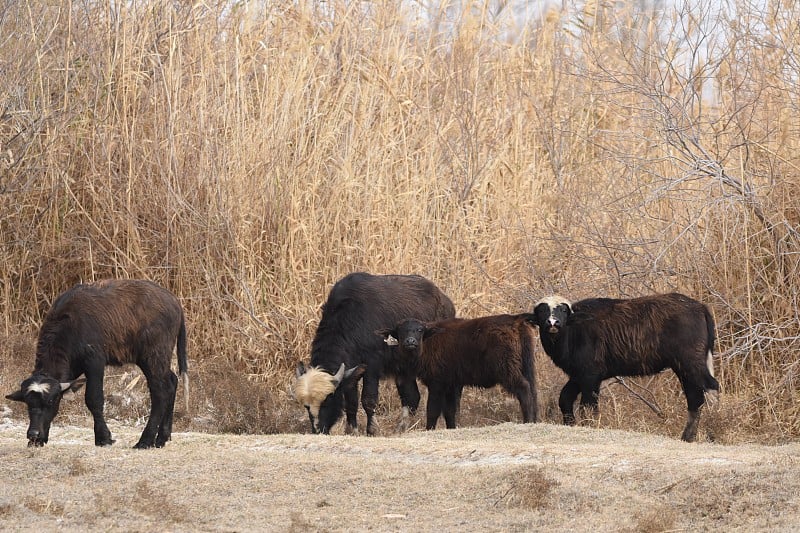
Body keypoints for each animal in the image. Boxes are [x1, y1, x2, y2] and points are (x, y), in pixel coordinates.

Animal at [5, 278, 188, 448]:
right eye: (28, 403)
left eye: (50, 401)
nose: (33, 434)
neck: (70, 327)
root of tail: (174, 301)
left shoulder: (95, 363)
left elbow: (94, 399)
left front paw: (103, 437)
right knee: (172, 382)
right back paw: (162, 437)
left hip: (153, 356)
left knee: (160, 392)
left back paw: (145, 440)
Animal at [294, 272, 456, 434]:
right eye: (306, 406)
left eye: (328, 399)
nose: (318, 430)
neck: (351, 320)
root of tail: (446, 303)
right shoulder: (352, 371)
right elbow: (351, 403)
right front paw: (352, 430)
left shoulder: (372, 368)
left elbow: (368, 400)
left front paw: (372, 430)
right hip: (403, 370)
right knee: (412, 397)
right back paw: (401, 427)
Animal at [378, 314, 540, 430]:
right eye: (400, 331)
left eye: (420, 330)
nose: (410, 341)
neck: (429, 340)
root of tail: (516, 321)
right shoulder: (452, 385)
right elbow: (450, 411)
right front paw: (451, 428)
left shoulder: (437, 384)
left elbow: (433, 410)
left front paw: (429, 429)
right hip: (526, 368)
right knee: (532, 390)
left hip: (507, 371)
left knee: (523, 388)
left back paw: (527, 421)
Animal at [532, 290, 720, 440]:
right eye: (542, 311)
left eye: (563, 310)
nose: (553, 323)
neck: (574, 331)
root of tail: (699, 307)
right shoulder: (578, 376)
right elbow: (565, 398)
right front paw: (570, 424)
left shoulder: (590, 377)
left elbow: (588, 407)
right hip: (683, 368)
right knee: (695, 398)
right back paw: (687, 437)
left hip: (691, 364)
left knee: (712, 387)